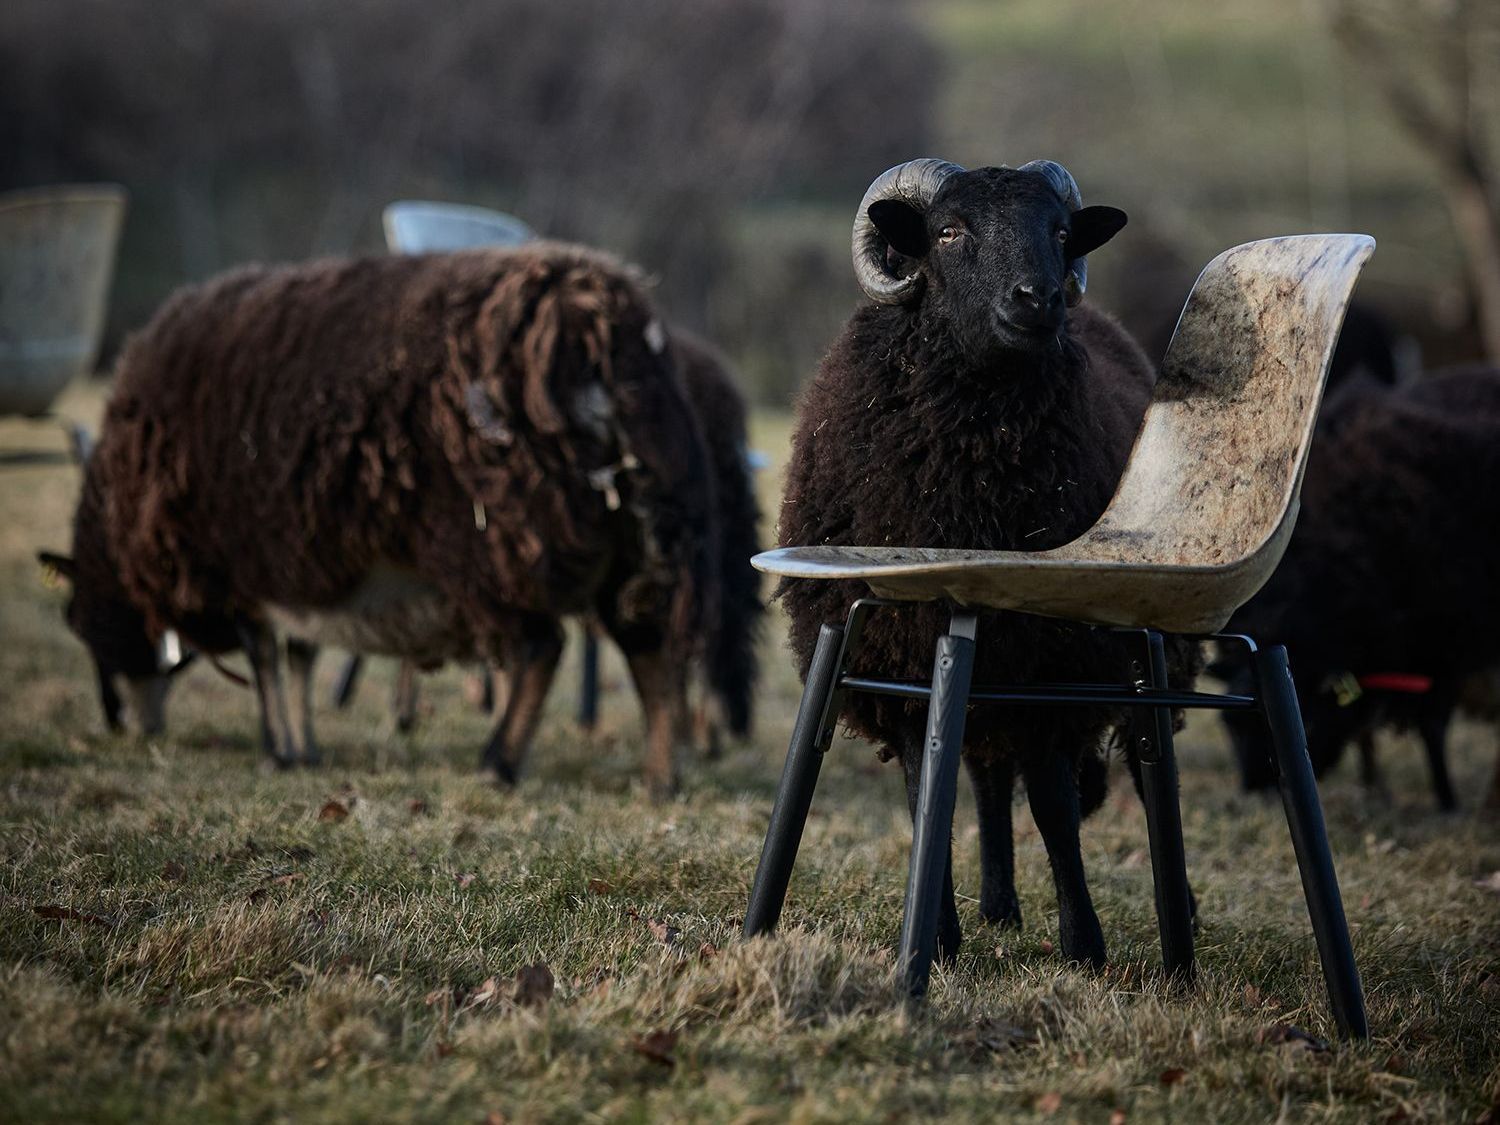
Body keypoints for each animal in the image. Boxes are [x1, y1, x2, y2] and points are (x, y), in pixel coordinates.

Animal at [43, 243, 716, 796]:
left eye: (80, 623)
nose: (125, 727)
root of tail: (600, 318)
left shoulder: (233, 563)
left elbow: (263, 659)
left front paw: (276, 751)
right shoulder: (297, 562)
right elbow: (299, 655)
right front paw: (305, 749)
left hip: (493, 535)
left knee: (541, 646)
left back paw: (497, 764)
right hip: (626, 533)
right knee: (649, 649)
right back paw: (660, 779)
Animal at [778, 158, 1196, 968]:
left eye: (1060, 233)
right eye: (947, 231)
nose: (1038, 299)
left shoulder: (1054, 662)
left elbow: (1056, 806)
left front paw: (1083, 944)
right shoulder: (906, 655)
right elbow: (925, 795)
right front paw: (938, 935)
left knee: (1139, 762)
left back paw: (1181, 908)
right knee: (988, 773)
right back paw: (999, 904)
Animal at [1220, 364, 1500, 812]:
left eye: (1307, 723)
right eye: (1229, 725)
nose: (1260, 795)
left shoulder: (1438, 638)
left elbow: (1433, 728)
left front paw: (1446, 801)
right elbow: (1364, 728)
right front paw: (1373, 787)